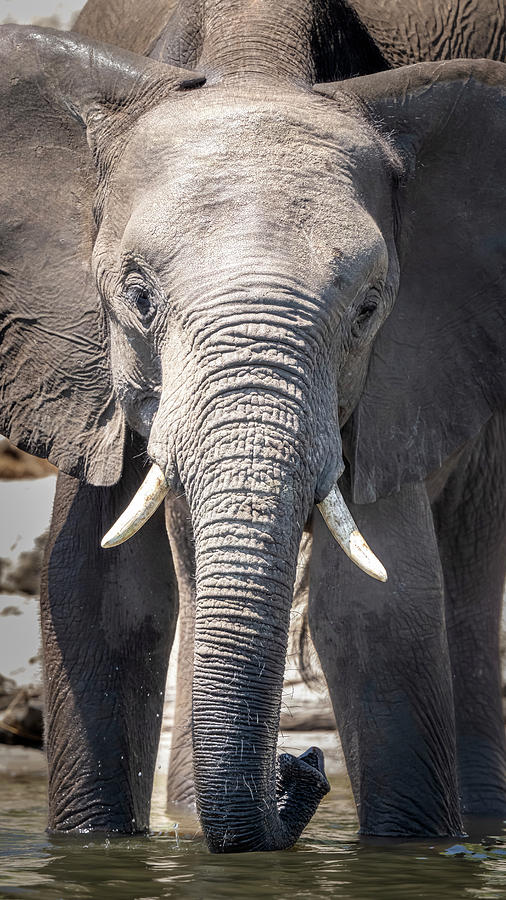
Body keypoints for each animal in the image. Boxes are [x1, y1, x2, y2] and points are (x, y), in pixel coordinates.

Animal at [0, 0, 504, 856]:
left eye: (369, 307)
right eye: (137, 297)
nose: (301, 765)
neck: (254, 59)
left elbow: (380, 608)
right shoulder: (74, 351)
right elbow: (97, 593)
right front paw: (97, 848)